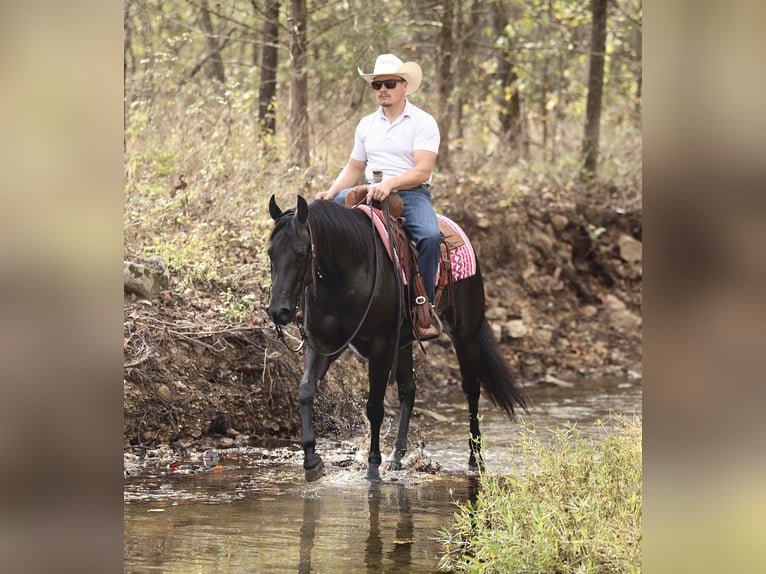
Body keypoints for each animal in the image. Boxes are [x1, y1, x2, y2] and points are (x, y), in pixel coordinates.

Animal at [266, 194, 528, 481]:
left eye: (303, 253)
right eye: (270, 252)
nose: (278, 310)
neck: (346, 275)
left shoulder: (380, 345)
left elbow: (374, 407)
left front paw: (372, 467)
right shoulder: (321, 345)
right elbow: (305, 391)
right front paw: (312, 460)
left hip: (465, 334)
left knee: (471, 389)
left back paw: (475, 460)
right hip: (403, 342)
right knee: (408, 391)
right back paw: (397, 456)